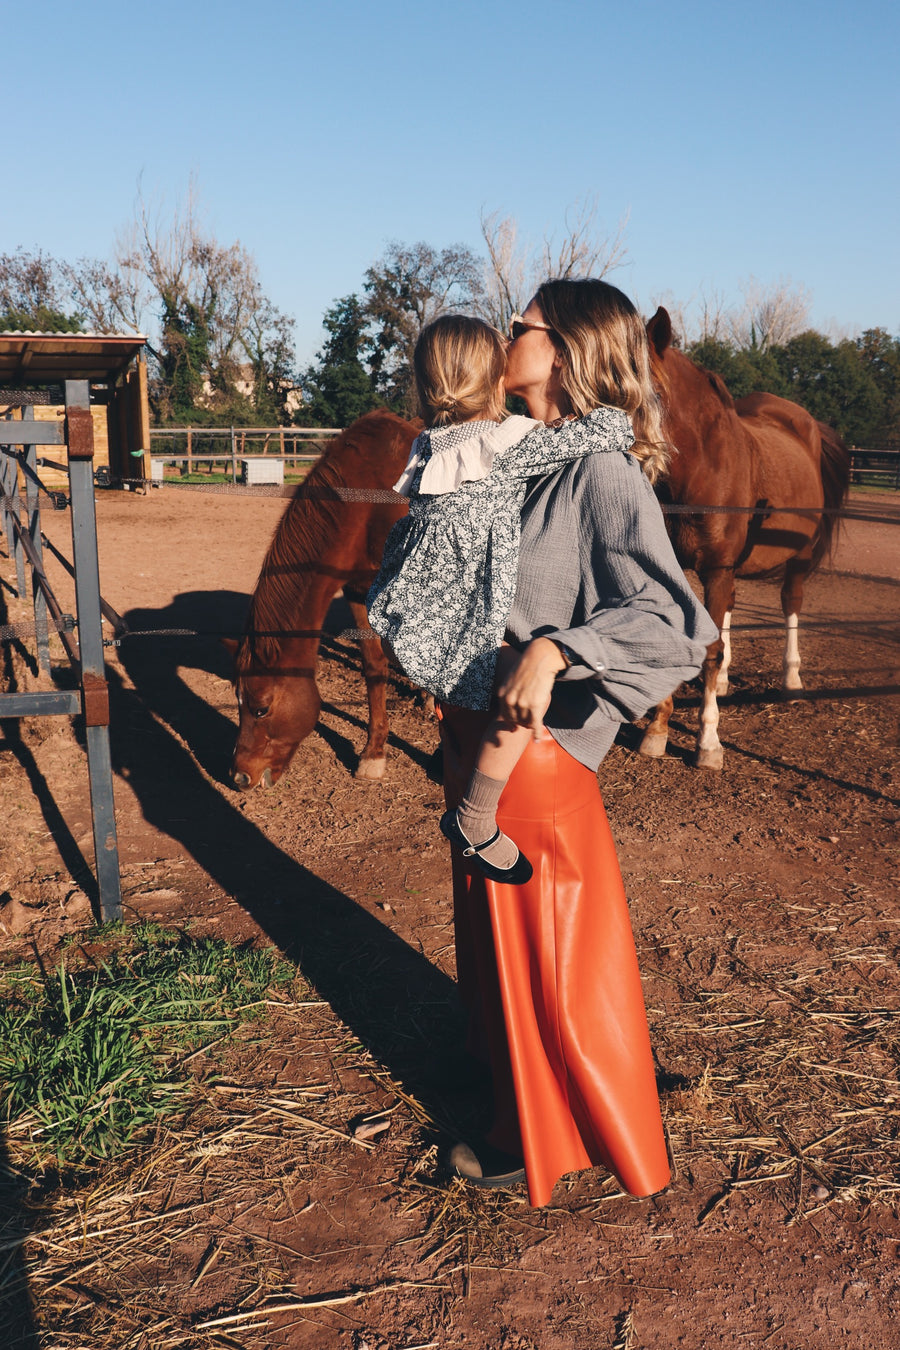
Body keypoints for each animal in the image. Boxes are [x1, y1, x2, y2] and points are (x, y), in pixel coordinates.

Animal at [229, 410, 418, 788]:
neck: (369, 500)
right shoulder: (359, 590)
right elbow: (374, 666)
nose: (240, 776)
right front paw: (374, 753)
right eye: (236, 703)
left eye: (260, 708)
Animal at [639, 309, 852, 772]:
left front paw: (708, 742)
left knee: (791, 602)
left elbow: (710, 650)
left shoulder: (718, 568)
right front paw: (657, 729)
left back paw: (791, 679)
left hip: (799, 556)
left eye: (649, 394)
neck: (699, 471)